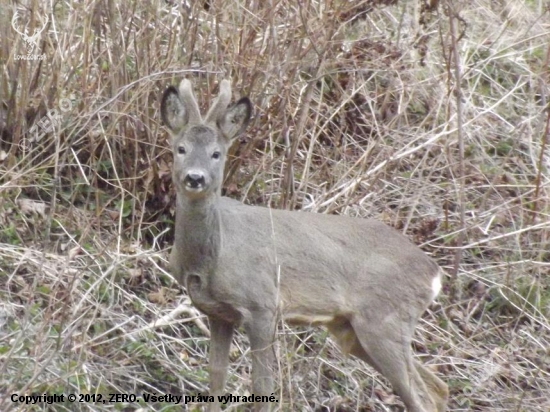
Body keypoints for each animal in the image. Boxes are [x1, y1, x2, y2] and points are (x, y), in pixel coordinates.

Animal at [162, 79, 450, 410]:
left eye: (216, 153)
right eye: (180, 148)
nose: (195, 178)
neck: (212, 258)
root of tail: (435, 273)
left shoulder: (262, 304)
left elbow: (263, 385)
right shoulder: (218, 313)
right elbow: (216, 378)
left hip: (384, 320)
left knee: (421, 396)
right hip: (352, 329)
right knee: (439, 387)